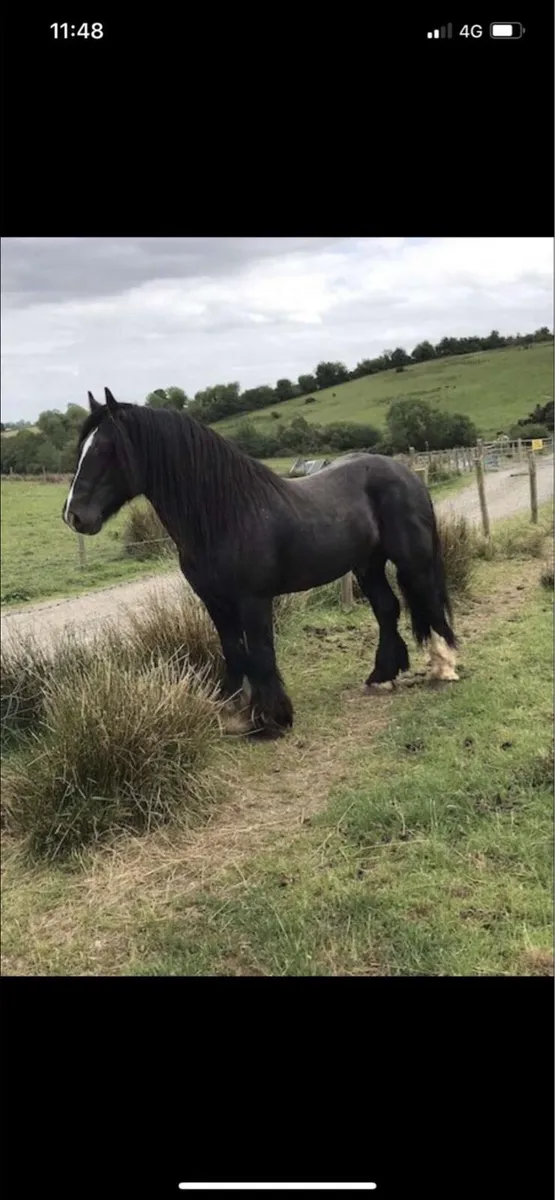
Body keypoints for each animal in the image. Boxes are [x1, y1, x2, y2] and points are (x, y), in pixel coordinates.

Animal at [62, 388, 459, 738]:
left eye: (106, 449)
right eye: (81, 449)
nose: (74, 515)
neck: (225, 514)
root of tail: (405, 473)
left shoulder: (253, 599)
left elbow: (261, 652)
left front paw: (272, 719)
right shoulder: (215, 601)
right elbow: (233, 651)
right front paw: (234, 715)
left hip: (413, 559)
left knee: (427, 599)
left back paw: (444, 667)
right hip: (367, 565)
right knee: (387, 609)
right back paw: (382, 676)